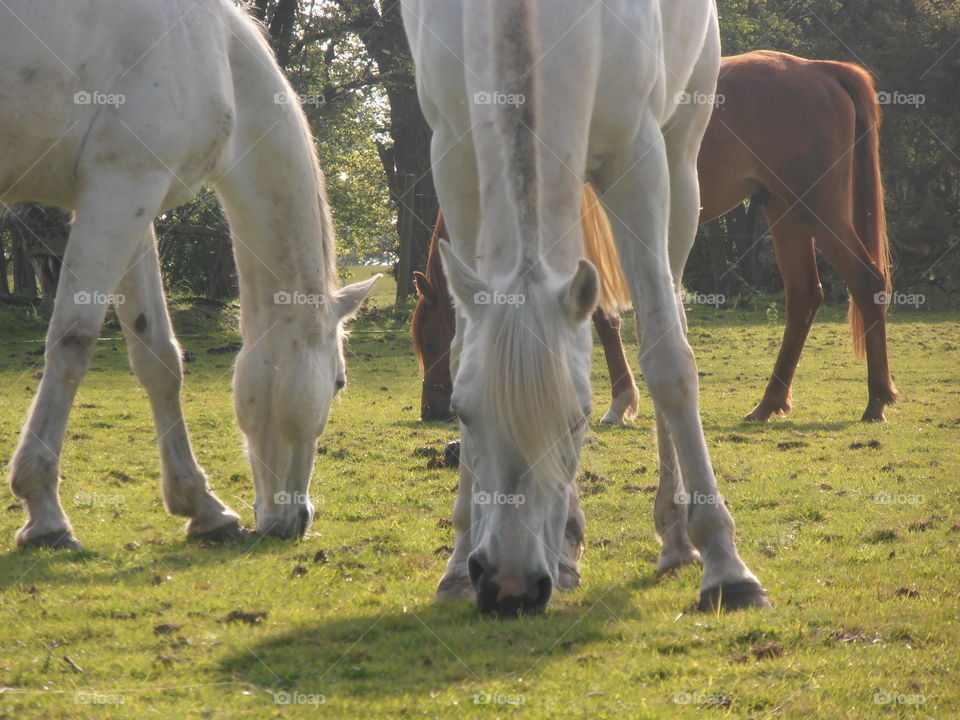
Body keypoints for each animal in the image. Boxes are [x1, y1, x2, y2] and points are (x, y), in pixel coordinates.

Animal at [1, 0, 376, 548]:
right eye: (340, 383)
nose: (297, 521)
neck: (218, 53)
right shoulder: (119, 189)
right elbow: (73, 341)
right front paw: (45, 513)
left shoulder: (134, 202)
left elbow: (156, 356)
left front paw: (203, 507)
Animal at [404, 0, 772, 616]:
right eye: (462, 414)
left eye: (578, 421)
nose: (509, 586)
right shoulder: (452, 154)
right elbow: (462, 349)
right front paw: (457, 564)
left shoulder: (638, 157)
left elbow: (668, 359)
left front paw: (726, 567)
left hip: (682, 162)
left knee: (669, 314)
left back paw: (676, 537)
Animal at [414, 52, 900, 422]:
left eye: (430, 340)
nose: (432, 411)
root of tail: (819, 69)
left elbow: (602, 319)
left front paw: (620, 403)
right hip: (785, 210)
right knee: (803, 297)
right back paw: (768, 404)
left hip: (816, 206)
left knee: (867, 282)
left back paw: (876, 401)